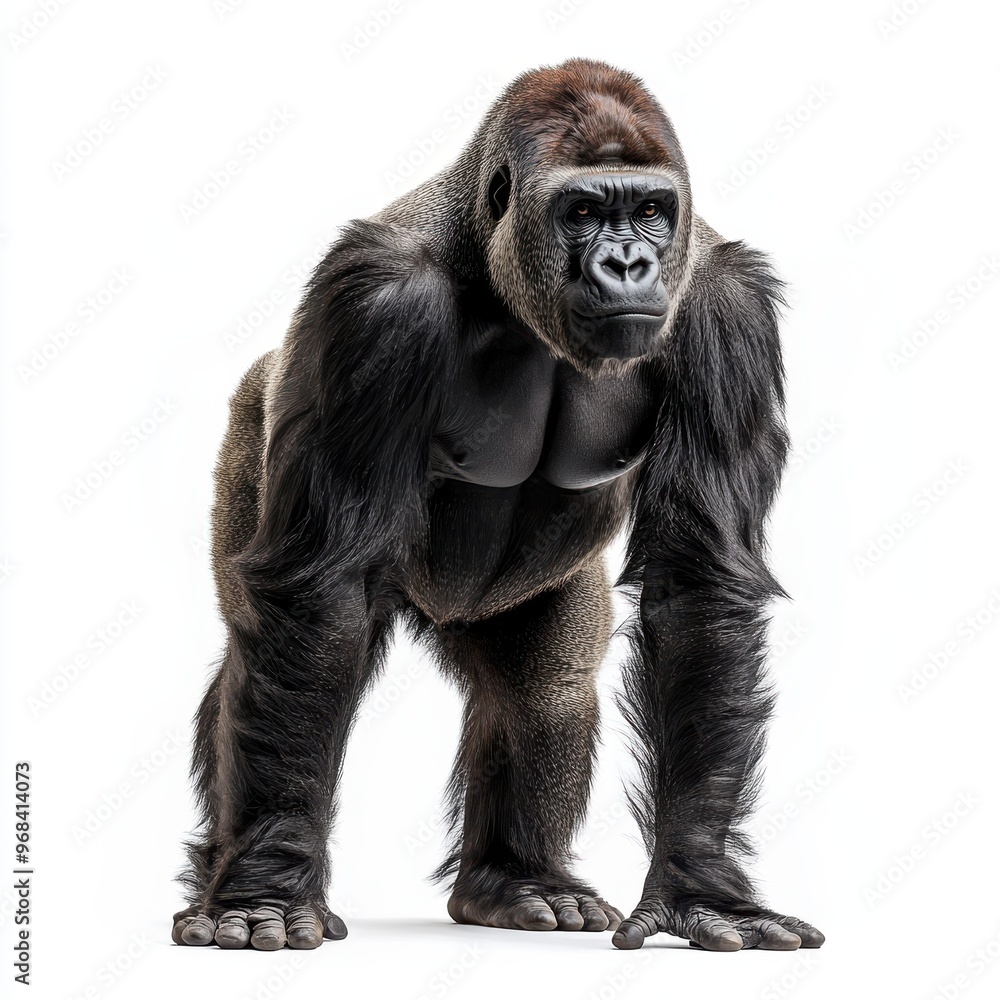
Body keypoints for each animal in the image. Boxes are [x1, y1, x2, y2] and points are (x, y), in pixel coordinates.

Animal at [172, 57, 824, 954]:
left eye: (649, 212)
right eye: (581, 212)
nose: (629, 265)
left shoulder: (728, 310)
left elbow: (699, 591)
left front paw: (701, 881)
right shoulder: (374, 304)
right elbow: (320, 591)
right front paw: (266, 882)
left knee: (544, 686)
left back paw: (513, 880)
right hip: (248, 421)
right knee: (277, 636)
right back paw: (221, 874)